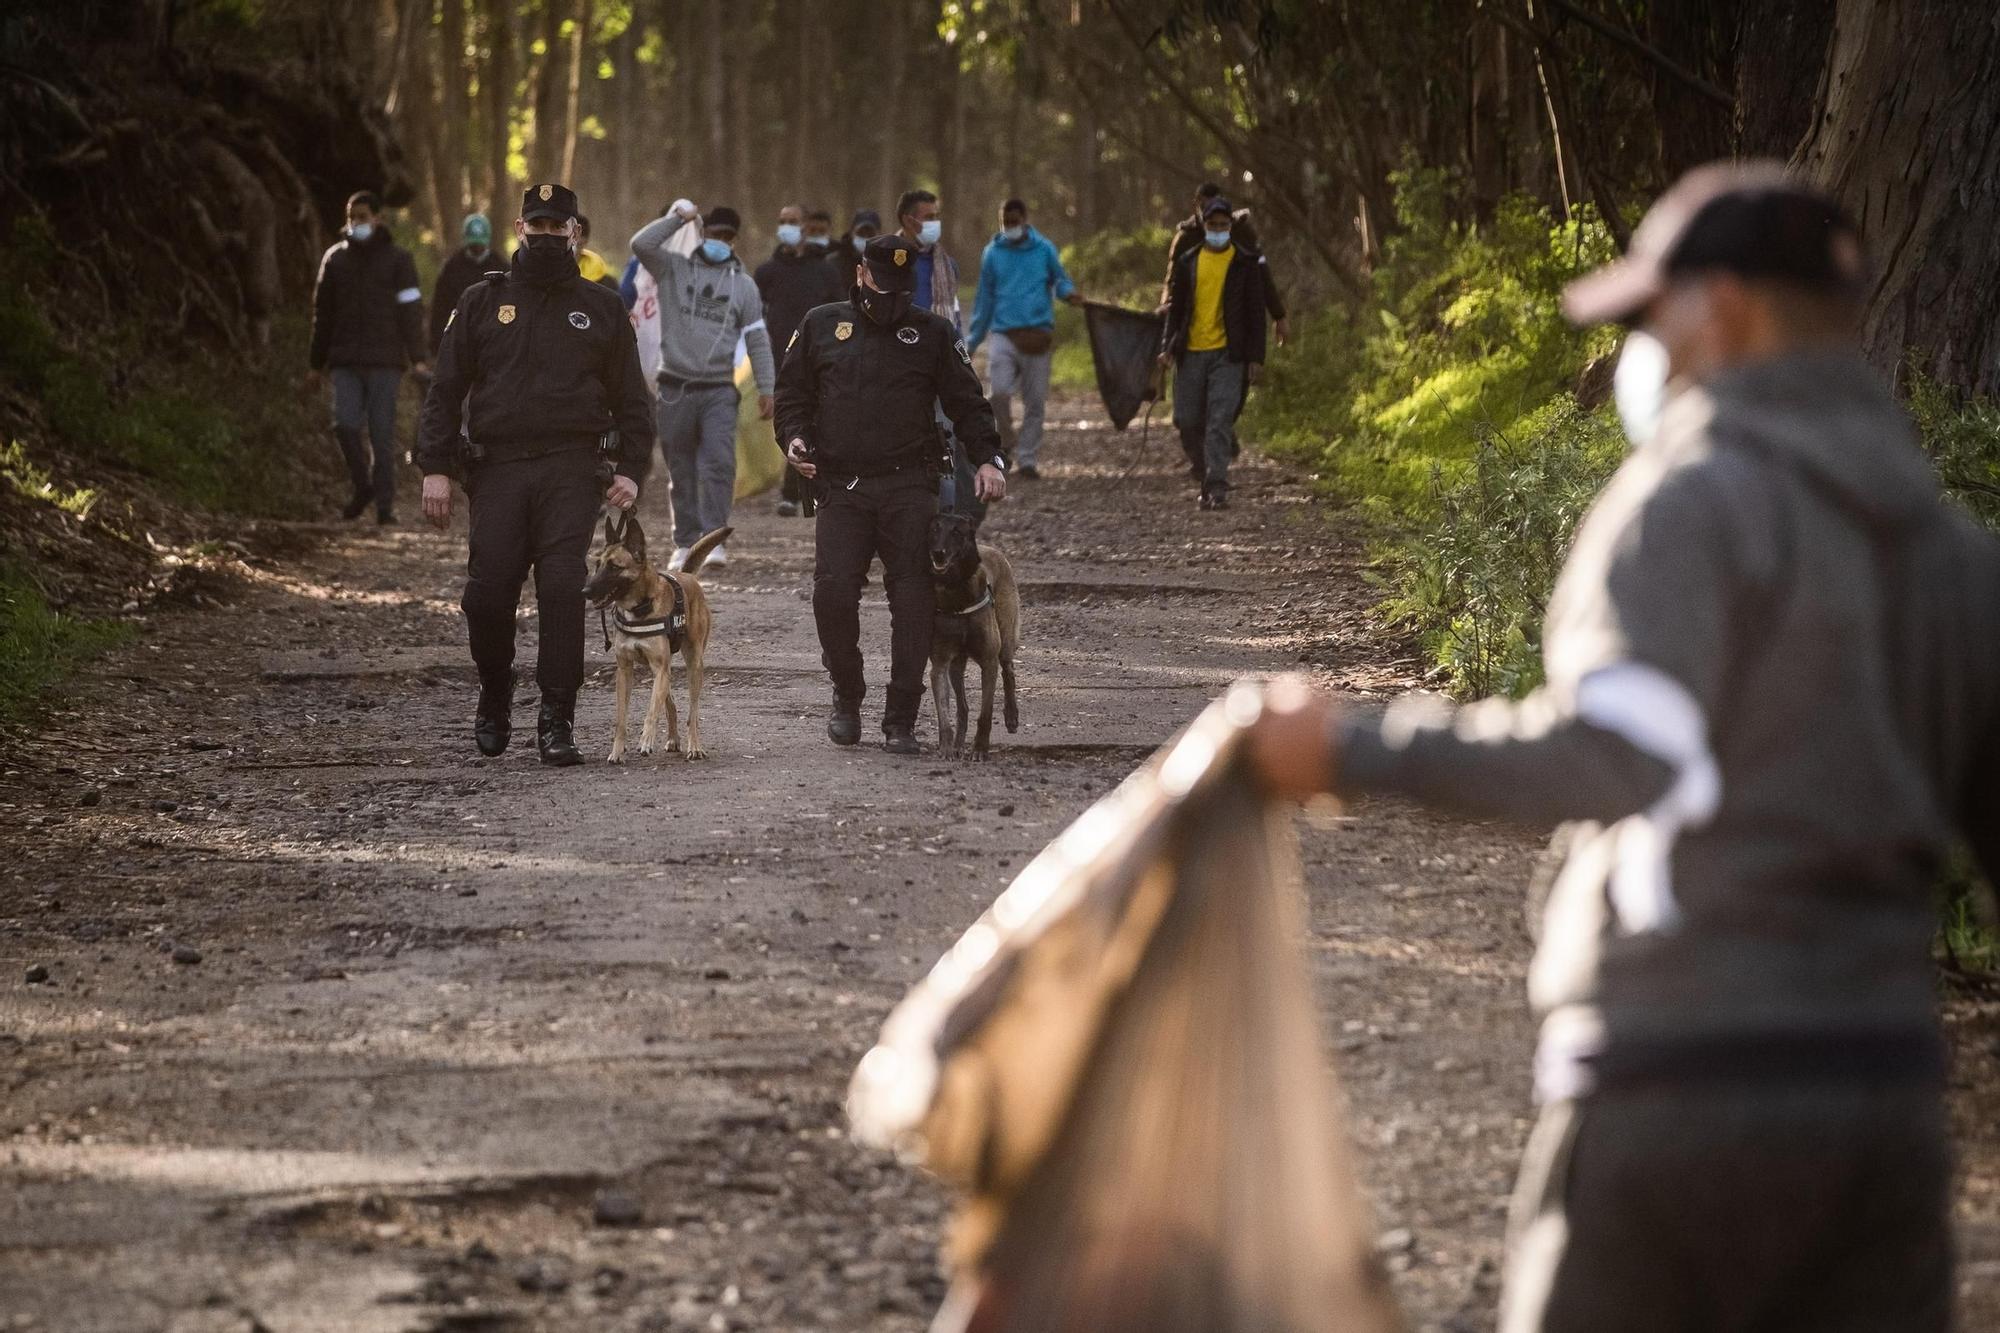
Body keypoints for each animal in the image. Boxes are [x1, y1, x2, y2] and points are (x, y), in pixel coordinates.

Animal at [584, 508, 732, 756]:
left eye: (614, 567)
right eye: (598, 565)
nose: (585, 591)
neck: (641, 607)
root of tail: (687, 576)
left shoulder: (660, 669)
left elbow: (652, 711)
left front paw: (646, 740)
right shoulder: (625, 671)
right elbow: (621, 718)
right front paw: (617, 751)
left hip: (693, 665)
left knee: (693, 712)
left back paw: (694, 745)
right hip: (664, 672)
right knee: (670, 703)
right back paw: (673, 738)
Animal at [920, 508, 1016, 756]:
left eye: (957, 532)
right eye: (935, 529)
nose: (938, 554)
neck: (956, 591)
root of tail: (992, 549)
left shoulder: (989, 663)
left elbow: (985, 713)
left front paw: (980, 748)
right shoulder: (940, 665)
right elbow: (944, 714)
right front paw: (946, 747)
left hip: (1006, 639)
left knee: (1009, 671)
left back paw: (1012, 717)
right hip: (956, 666)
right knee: (962, 707)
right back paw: (957, 744)